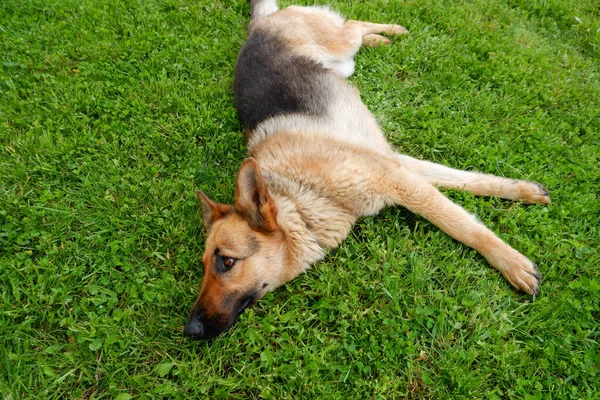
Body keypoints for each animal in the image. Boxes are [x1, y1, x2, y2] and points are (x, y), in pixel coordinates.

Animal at [183, 0, 548, 340]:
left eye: (226, 261)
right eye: (203, 266)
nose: (190, 329)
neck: (301, 197)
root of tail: (258, 26)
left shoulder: (397, 178)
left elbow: (463, 224)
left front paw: (514, 264)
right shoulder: (398, 165)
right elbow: (467, 181)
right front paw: (523, 191)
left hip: (341, 46)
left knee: (354, 24)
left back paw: (393, 31)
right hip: (345, 64)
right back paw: (380, 40)